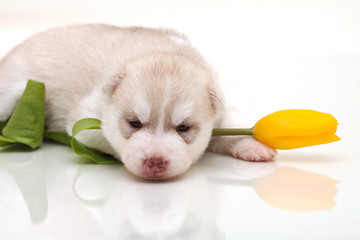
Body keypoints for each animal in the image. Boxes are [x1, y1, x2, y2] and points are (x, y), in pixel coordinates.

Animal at [0, 24, 276, 179]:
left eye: (183, 127)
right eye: (134, 123)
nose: (155, 161)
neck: (163, 52)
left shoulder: (220, 109)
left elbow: (230, 127)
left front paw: (253, 146)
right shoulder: (87, 121)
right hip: (14, 88)